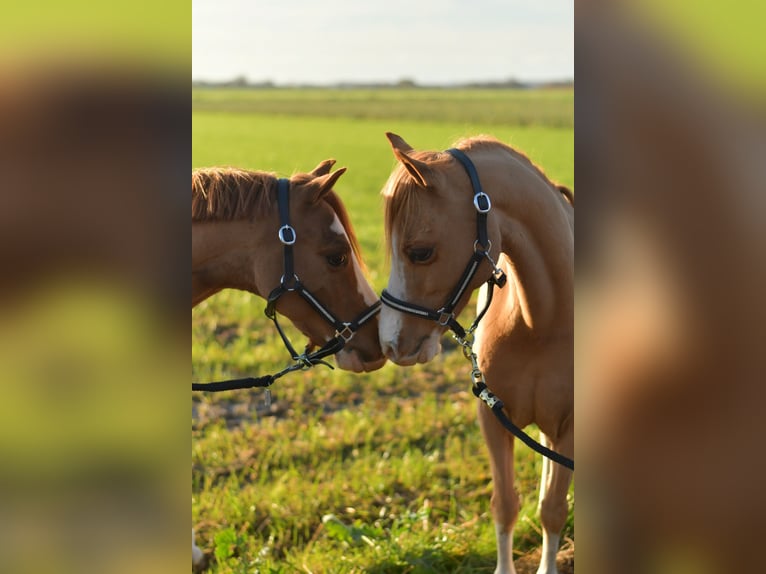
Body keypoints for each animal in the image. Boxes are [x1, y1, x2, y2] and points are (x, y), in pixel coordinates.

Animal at [378, 133, 573, 574]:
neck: (542, 323)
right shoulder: (493, 417)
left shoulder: (571, 428)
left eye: (420, 251)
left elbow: (553, 509)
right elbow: (506, 506)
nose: (390, 342)